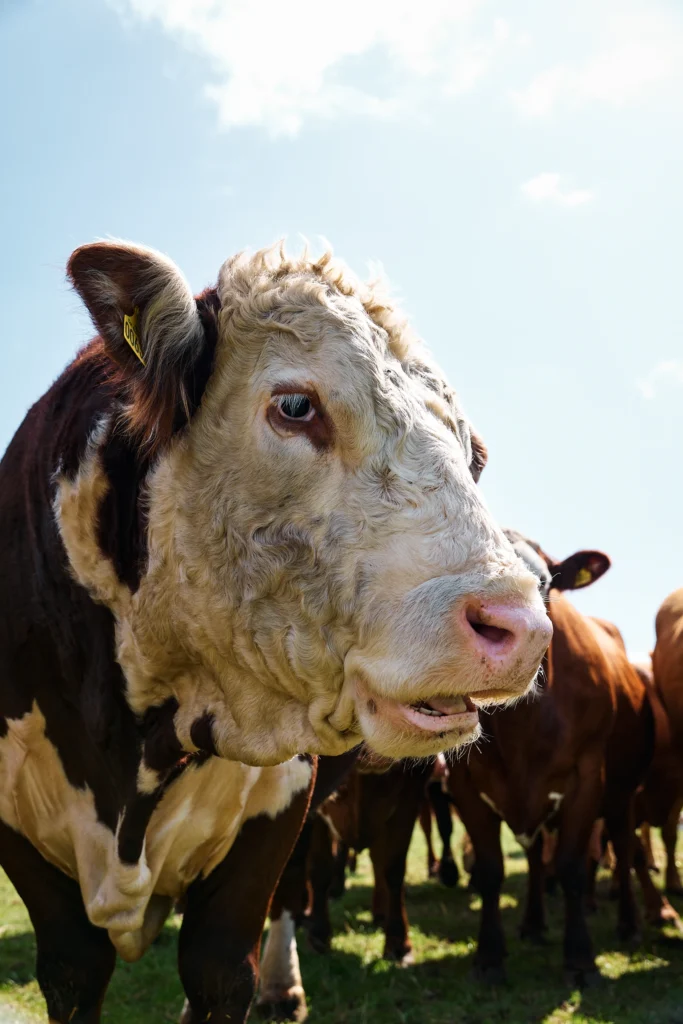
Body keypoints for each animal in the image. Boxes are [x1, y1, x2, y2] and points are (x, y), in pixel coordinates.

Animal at [0, 239, 552, 1023]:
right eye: (294, 405)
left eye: (472, 453)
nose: (520, 626)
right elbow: (74, 971)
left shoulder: (275, 821)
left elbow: (222, 965)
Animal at [446, 532, 655, 985]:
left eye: (544, 584)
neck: (521, 727)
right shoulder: (466, 785)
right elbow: (491, 870)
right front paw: (489, 955)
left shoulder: (586, 778)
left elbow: (573, 867)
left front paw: (579, 958)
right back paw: (533, 923)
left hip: (623, 793)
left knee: (624, 848)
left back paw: (631, 924)